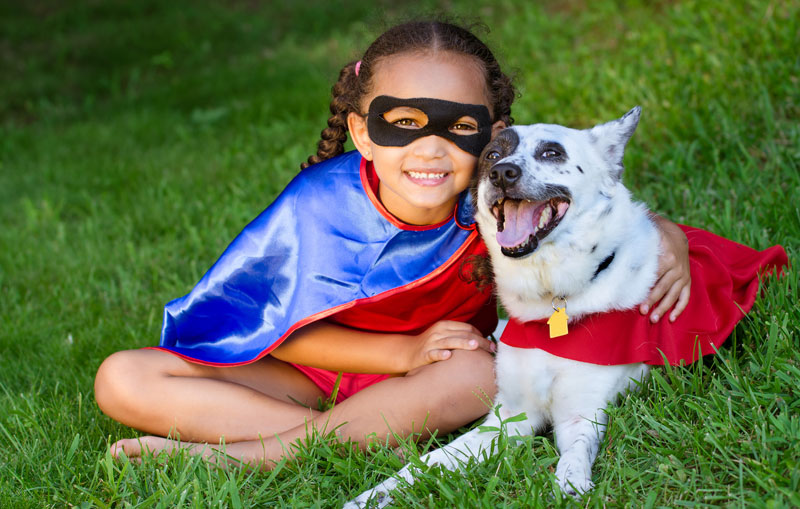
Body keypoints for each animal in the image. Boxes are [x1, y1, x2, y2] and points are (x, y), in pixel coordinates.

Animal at [346, 105, 660, 506]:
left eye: (552, 153)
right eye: (492, 155)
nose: (502, 173)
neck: (551, 303)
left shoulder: (581, 414)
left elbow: (575, 455)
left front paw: (570, 485)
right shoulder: (507, 418)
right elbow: (432, 461)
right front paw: (378, 492)